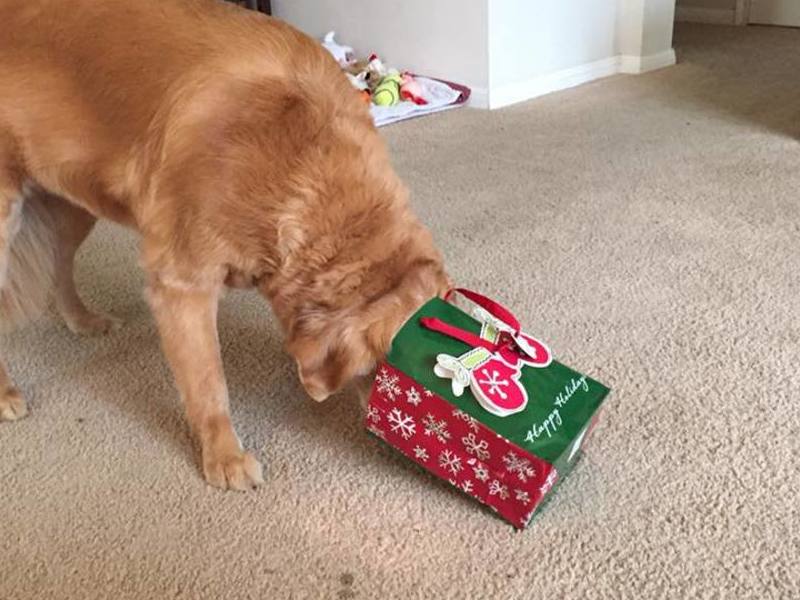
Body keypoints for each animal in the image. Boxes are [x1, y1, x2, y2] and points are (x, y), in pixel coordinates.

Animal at [0, 0, 450, 492]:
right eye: (391, 372)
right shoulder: (182, 283)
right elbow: (208, 382)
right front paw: (224, 457)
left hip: (74, 195)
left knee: (59, 263)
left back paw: (83, 320)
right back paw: (6, 392)